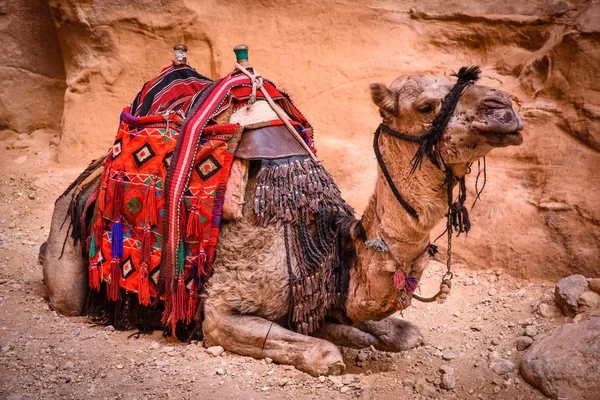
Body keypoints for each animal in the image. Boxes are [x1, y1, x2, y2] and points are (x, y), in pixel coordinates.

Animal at [42, 67, 524, 376]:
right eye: (426, 106)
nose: (504, 108)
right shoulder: (221, 311)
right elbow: (323, 353)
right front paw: (340, 343)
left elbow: (404, 333)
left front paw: (362, 333)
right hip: (68, 255)